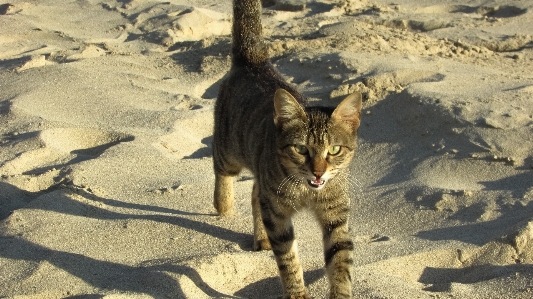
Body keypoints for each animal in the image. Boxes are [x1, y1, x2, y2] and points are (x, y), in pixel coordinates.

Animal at [212, 0, 362, 298]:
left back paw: (260, 237)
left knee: (255, 193)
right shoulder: (277, 214)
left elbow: (341, 258)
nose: (318, 172)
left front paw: (340, 292)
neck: (307, 191)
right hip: (229, 151)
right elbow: (288, 258)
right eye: (301, 149)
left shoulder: (336, 215)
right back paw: (223, 203)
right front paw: (296, 292)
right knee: (222, 169)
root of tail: (255, 62)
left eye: (334, 149)